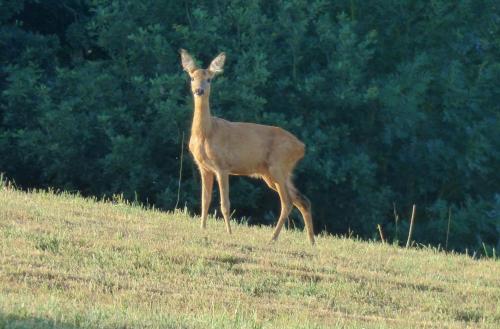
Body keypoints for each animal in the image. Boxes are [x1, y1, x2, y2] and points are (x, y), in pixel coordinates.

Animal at [179, 48, 312, 243]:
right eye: (192, 77)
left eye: (209, 79)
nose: (199, 90)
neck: (206, 133)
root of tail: (301, 147)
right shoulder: (204, 167)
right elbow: (205, 200)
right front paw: (202, 228)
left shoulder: (222, 166)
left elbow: (225, 203)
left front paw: (229, 232)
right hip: (273, 173)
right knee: (301, 199)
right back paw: (311, 241)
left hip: (278, 166)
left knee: (287, 202)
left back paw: (272, 238)